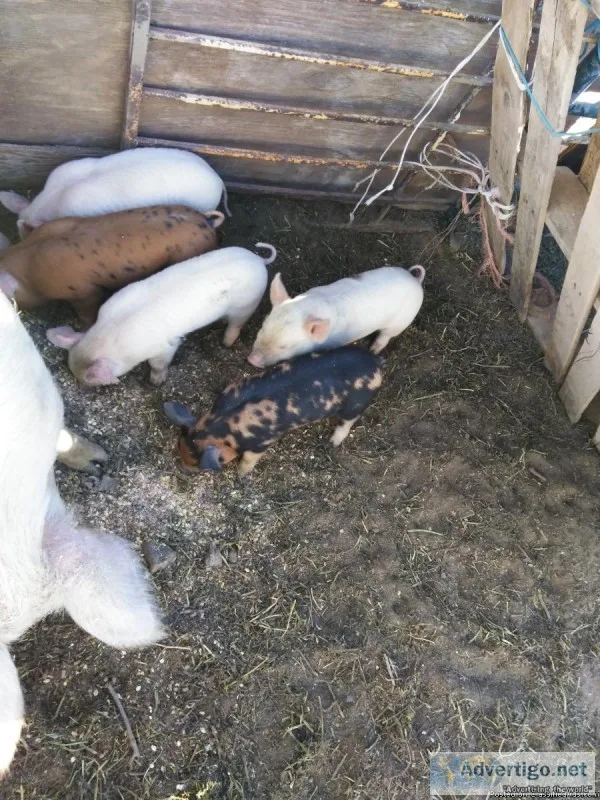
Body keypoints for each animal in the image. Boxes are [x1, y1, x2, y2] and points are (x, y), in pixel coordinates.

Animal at [46, 244, 276, 387]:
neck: (111, 335)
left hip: (247, 304)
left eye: (88, 380)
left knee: (236, 326)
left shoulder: (163, 347)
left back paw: (226, 343)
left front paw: (156, 382)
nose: (83, 385)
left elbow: (159, 364)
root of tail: (258, 259)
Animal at [163, 346, 384, 478]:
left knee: (348, 421)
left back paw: (333, 442)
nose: (181, 469)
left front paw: (241, 476)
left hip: (356, 402)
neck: (222, 423)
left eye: (198, 464)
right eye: (178, 445)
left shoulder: (263, 442)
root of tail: (376, 363)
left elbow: (249, 460)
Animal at [248, 265, 426, 368]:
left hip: (401, 321)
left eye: (285, 346)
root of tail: (415, 280)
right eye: (262, 329)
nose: (251, 359)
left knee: (386, 335)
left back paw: (373, 349)